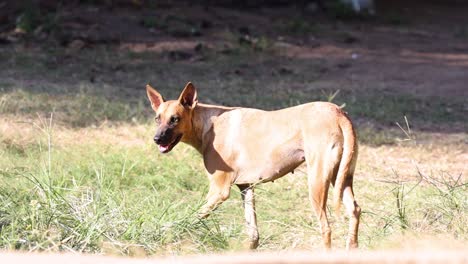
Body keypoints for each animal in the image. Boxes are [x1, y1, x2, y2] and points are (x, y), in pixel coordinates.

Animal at [146, 82, 362, 250]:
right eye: (157, 118)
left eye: (175, 119)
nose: (156, 139)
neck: (208, 124)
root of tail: (339, 113)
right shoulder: (246, 188)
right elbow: (253, 236)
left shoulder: (218, 191)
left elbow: (190, 217)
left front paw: (170, 232)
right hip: (340, 178)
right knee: (355, 210)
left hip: (317, 183)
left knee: (326, 227)